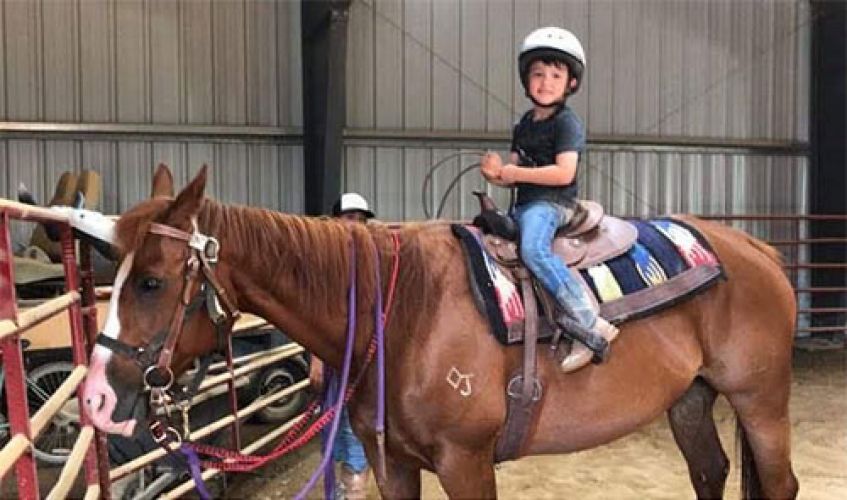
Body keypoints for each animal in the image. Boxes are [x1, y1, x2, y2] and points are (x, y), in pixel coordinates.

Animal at [83, 166, 800, 498]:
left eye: (151, 281)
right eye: (114, 274)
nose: (94, 397)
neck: (401, 312)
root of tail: (760, 251)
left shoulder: (466, 462)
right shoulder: (392, 463)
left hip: (759, 400)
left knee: (779, 483)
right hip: (691, 399)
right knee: (709, 472)